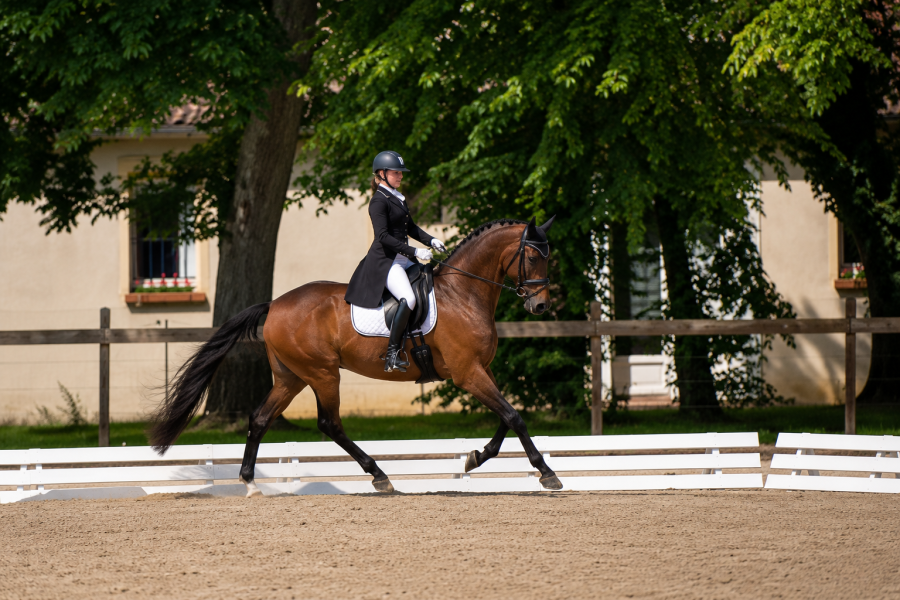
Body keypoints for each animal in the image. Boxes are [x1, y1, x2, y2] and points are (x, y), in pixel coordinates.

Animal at [148, 216, 562, 496]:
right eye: (532, 257)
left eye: (549, 258)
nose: (540, 306)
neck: (464, 294)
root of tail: (275, 305)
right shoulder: (467, 373)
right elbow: (514, 415)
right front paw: (546, 473)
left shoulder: (481, 370)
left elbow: (507, 417)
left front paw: (476, 456)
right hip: (323, 373)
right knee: (330, 424)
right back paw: (379, 476)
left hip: (291, 377)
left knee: (260, 418)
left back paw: (250, 483)